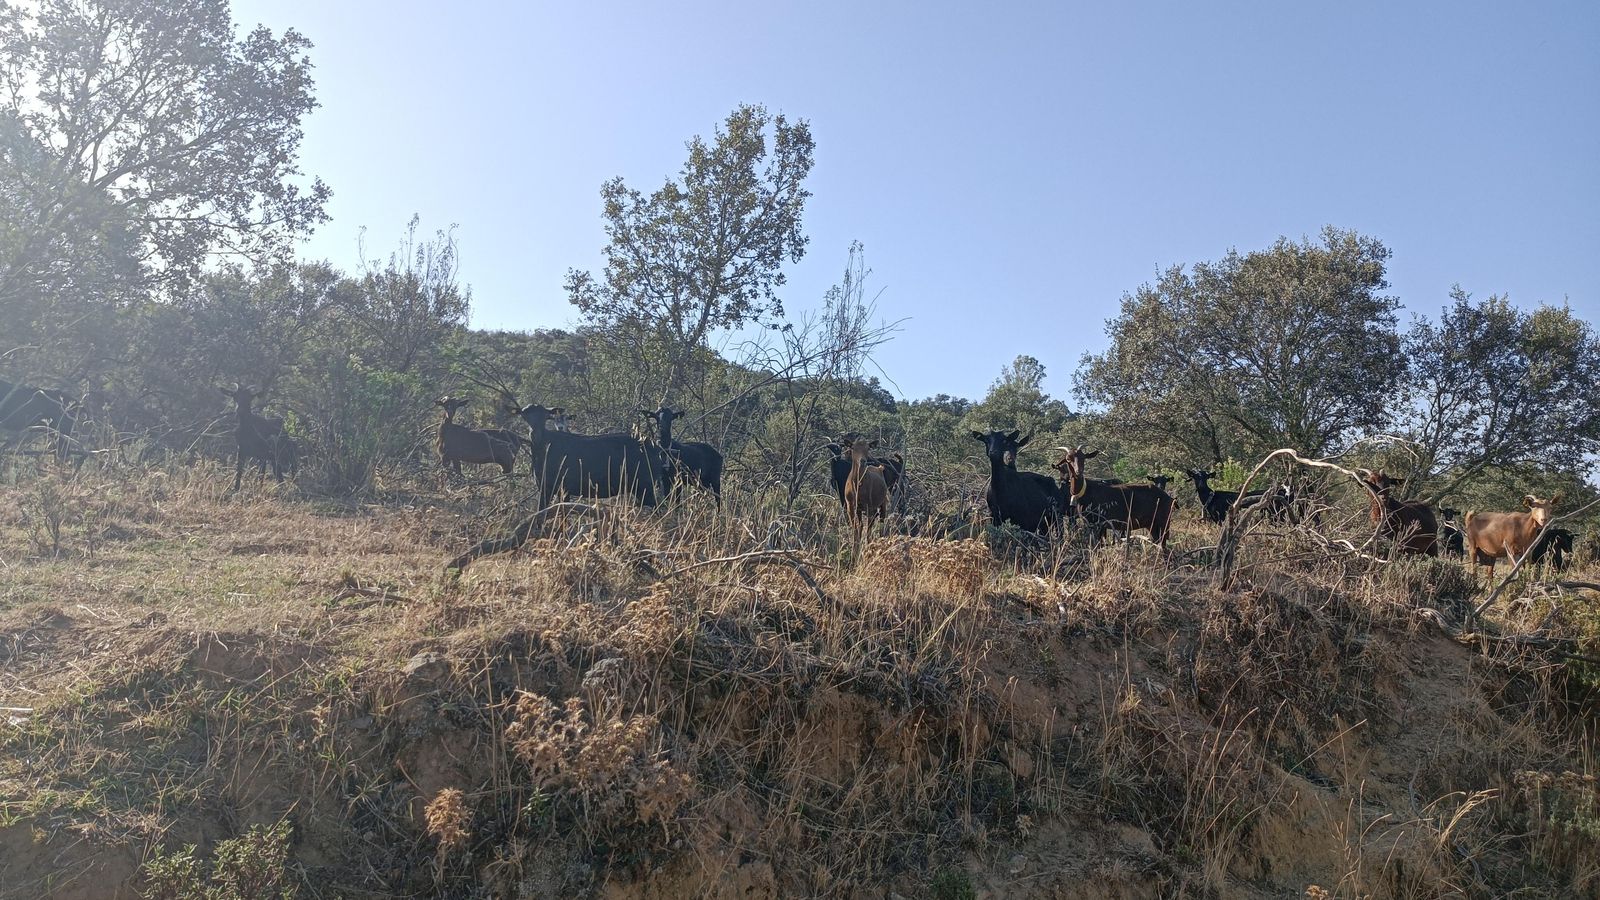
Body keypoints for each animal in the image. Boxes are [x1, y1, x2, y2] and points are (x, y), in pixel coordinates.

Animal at [513, 402, 671, 508]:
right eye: (525, 415)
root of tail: (658, 449)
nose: (535, 433)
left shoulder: (555, 486)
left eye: (545, 415)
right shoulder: (553, 487)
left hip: (645, 484)